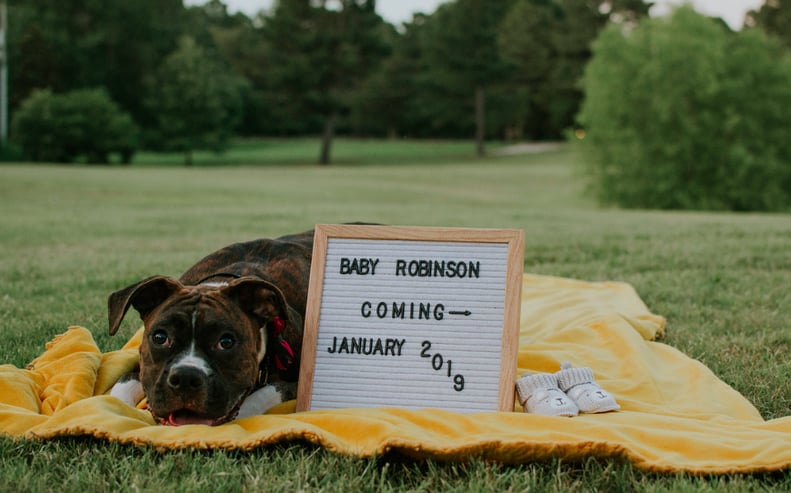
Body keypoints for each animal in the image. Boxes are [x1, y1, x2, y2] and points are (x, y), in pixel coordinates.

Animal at [108, 229, 312, 424]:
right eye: (160, 337)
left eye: (226, 342)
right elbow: (120, 391)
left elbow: (256, 400)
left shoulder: (292, 386)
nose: (186, 377)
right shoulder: (139, 369)